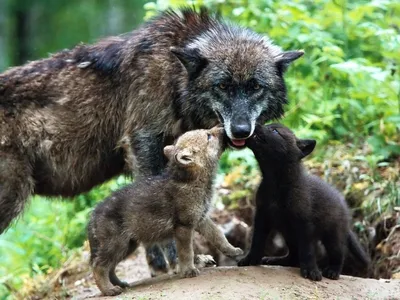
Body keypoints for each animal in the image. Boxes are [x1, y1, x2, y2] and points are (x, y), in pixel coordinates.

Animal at [0, 6, 304, 274]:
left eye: (255, 87)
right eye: (222, 86)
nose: (241, 130)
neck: (174, 76)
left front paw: (159, 262)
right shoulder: (143, 142)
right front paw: (176, 260)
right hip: (12, 199)